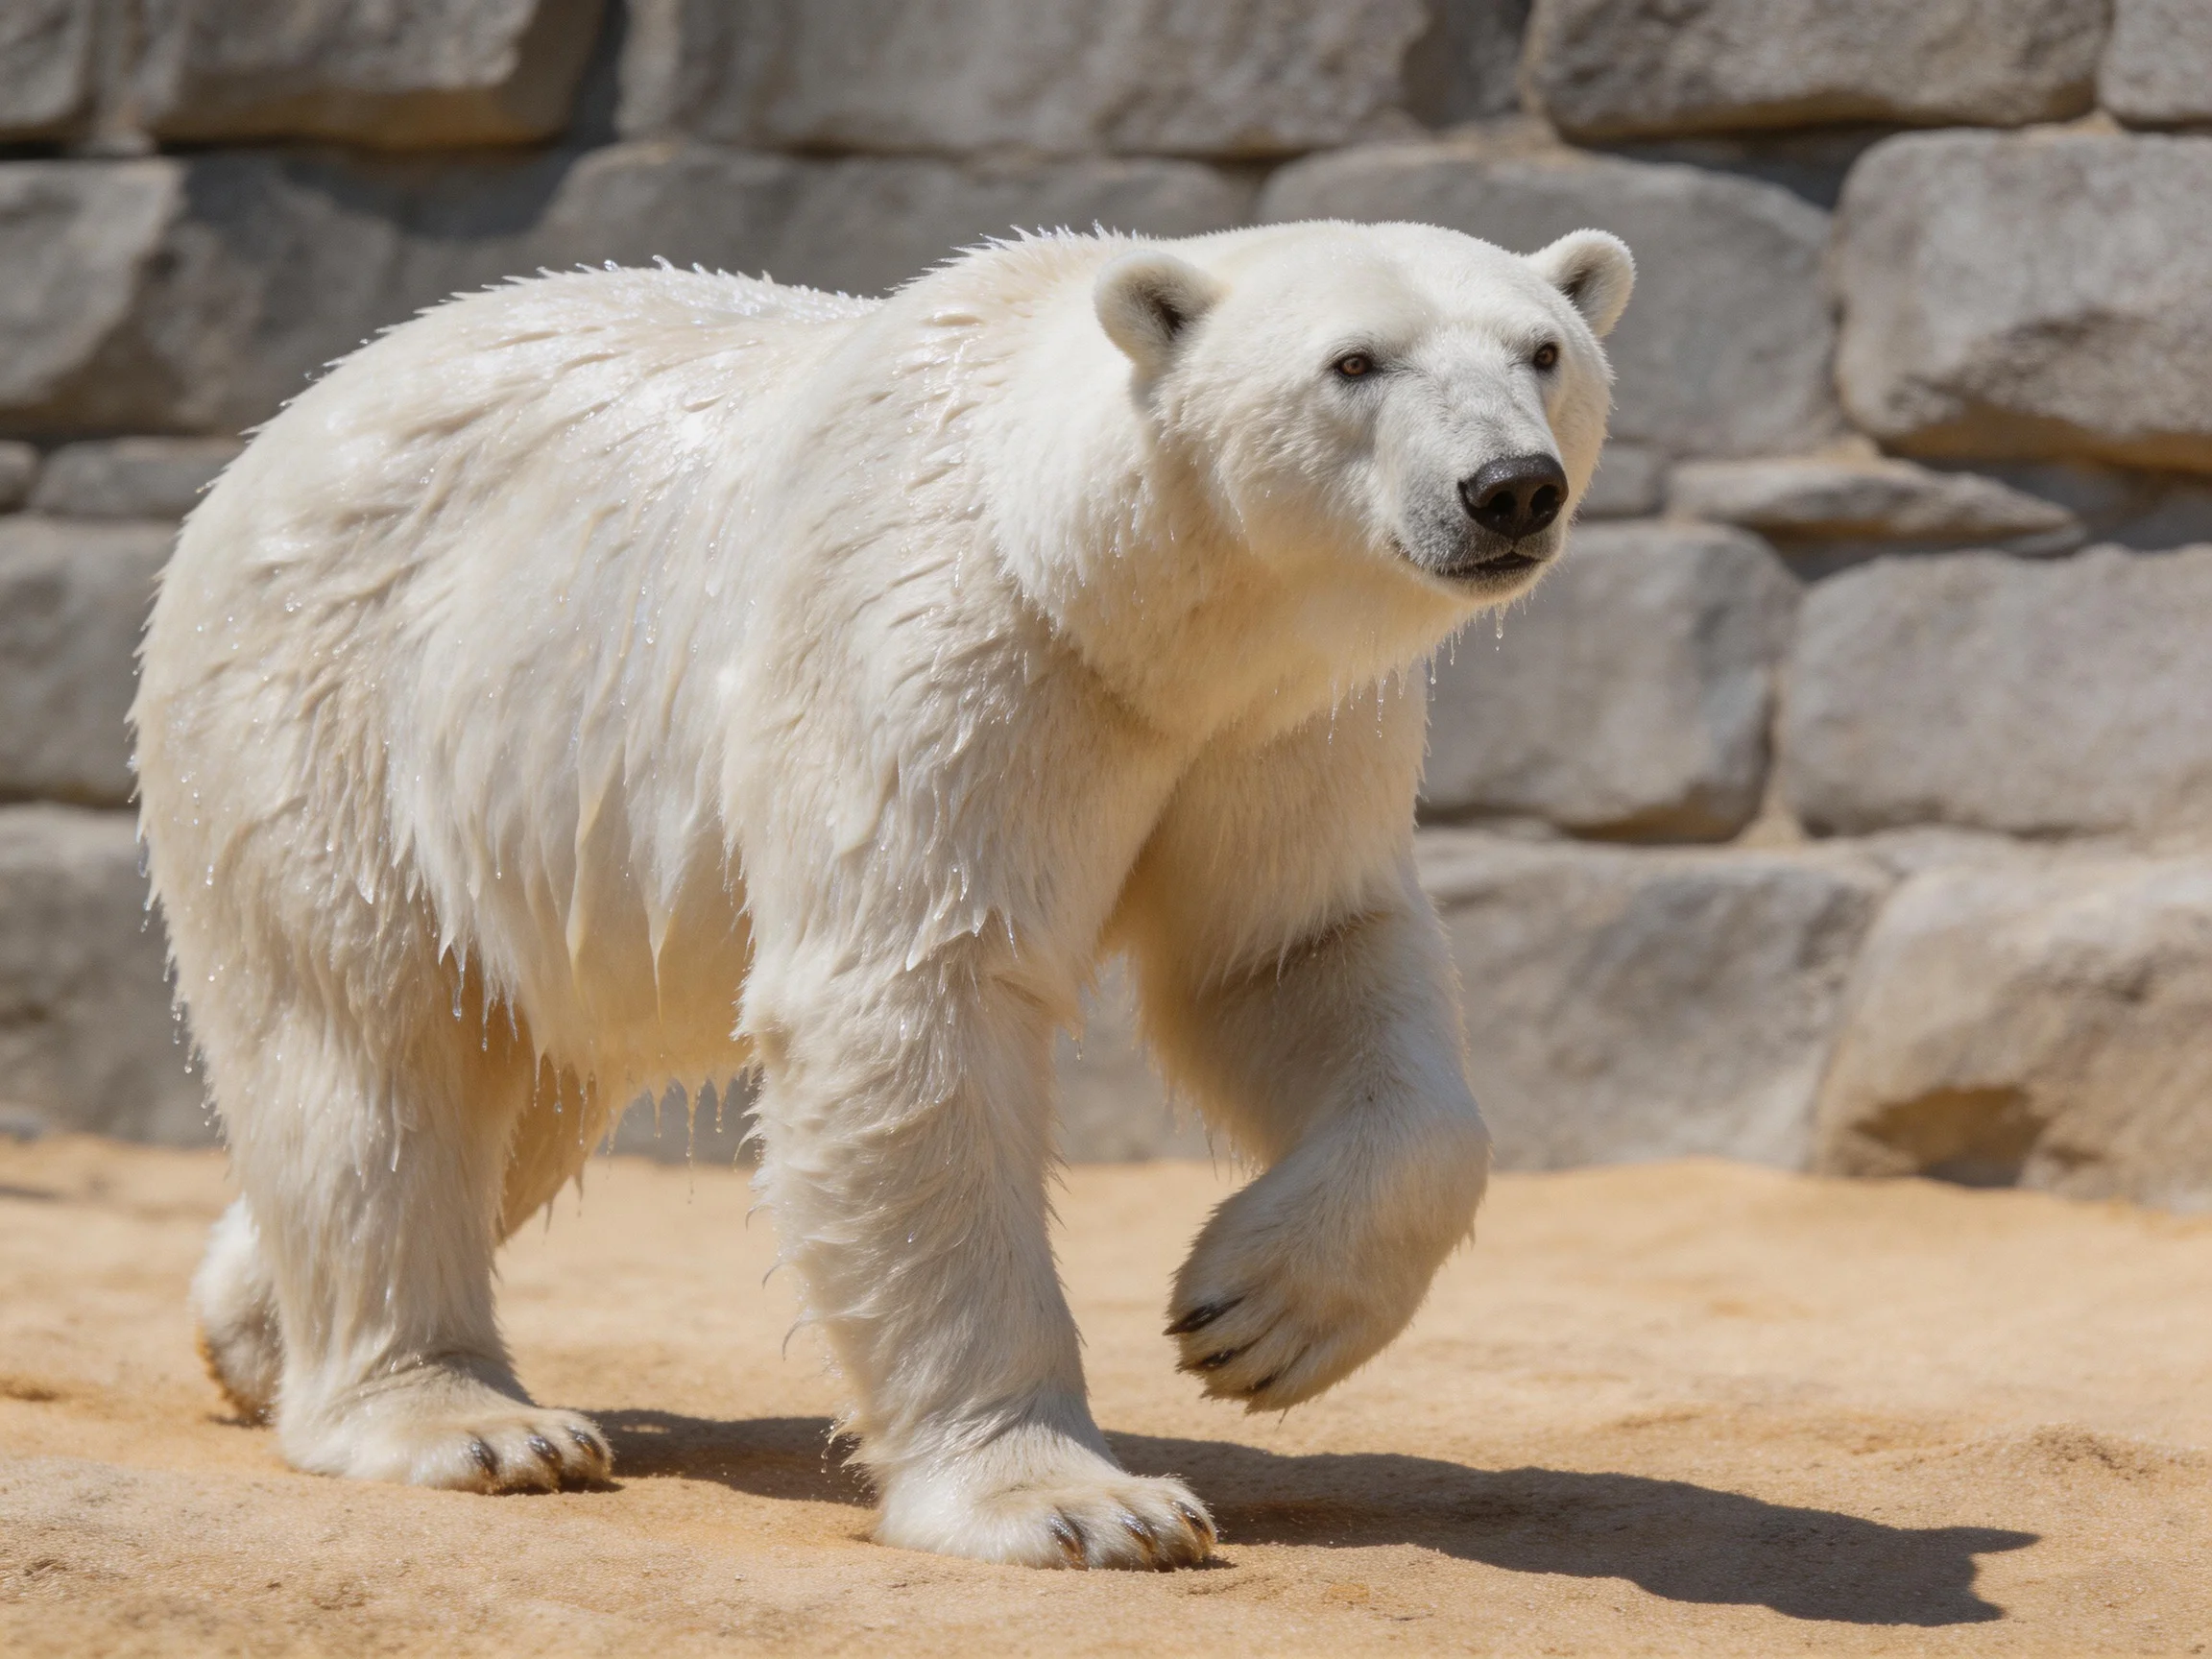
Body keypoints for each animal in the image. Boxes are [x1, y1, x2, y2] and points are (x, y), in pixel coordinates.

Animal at [133, 218, 1633, 1570]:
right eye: (1353, 362)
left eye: (1544, 348)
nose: (1511, 487)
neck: (1119, 594)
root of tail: (283, 432)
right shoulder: (957, 646)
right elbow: (917, 997)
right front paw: (1077, 1504)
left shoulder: (1277, 726)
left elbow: (1288, 956)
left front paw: (1255, 1313)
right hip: (324, 708)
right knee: (374, 1045)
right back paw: (467, 1421)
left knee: (517, 1088)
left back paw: (249, 1332)